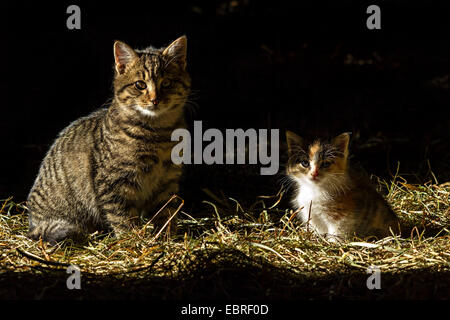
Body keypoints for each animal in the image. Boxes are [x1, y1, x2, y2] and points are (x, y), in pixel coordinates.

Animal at [27, 35, 190, 244]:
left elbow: (166, 213)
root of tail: (32, 224)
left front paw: (167, 238)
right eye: (140, 85)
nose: (155, 99)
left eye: (167, 83)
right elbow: (122, 218)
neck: (158, 133)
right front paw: (132, 241)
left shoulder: (167, 181)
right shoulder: (114, 184)